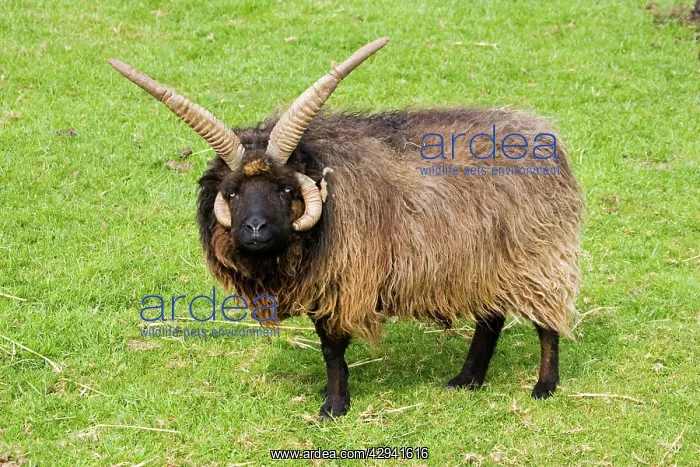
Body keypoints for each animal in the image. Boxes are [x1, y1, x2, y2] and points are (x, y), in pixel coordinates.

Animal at [109, 37, 584, 420]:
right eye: (232, 191)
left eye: (284, 188)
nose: (255, 229)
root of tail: (543, 137)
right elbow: (326, 346)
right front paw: (331, 397)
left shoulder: (344, 279)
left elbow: (333, 347)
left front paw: (333, 407)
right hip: (484, 261)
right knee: (491, 317)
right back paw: (466, 380)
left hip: (536, 254)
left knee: (545, 321)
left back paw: (544, 386)